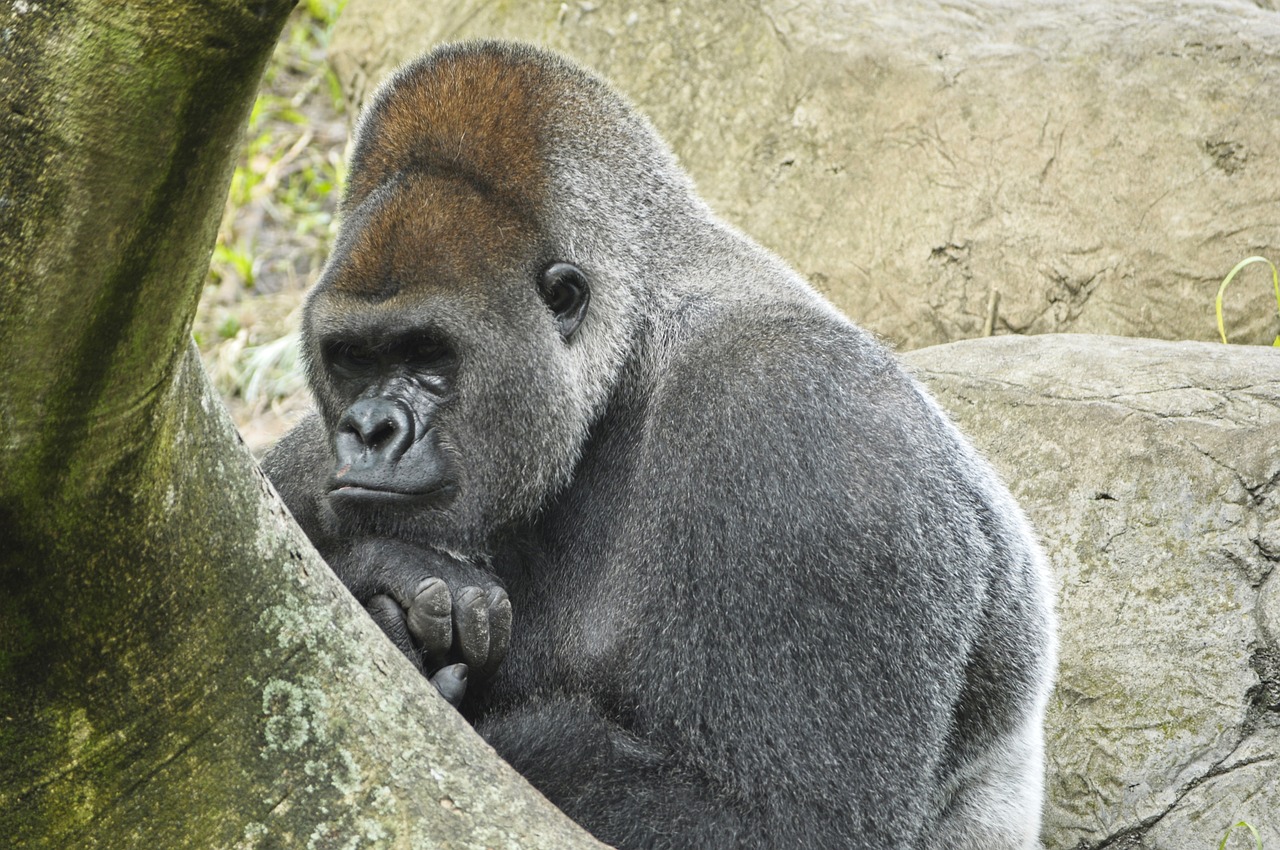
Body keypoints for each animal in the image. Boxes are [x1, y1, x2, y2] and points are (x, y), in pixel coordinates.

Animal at [262, 39, 1059, 850]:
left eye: (430, 355)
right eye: (352, 358)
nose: (370, 430)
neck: (628, 352)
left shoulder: (805, 426)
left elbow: (780, 820)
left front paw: (385, 602)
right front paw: (382, 572)